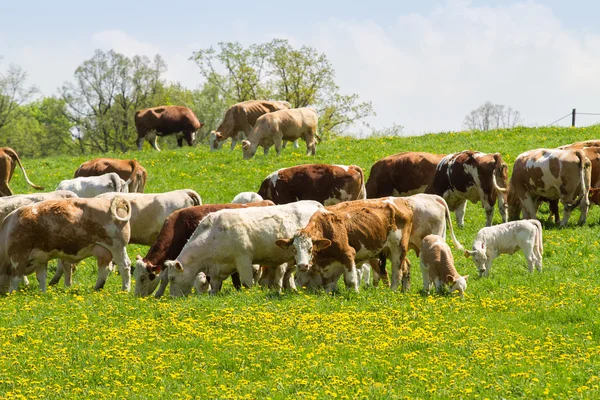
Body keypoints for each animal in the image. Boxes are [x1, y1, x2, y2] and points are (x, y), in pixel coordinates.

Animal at [0, 197, 132, 294]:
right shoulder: (41, 258)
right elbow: (41, 277)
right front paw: (42, 293)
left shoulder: (18, 256)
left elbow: (15, 278)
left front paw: (11, 294)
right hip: (103, 251)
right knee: (104, 269)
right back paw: (97, 288)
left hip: (117, 247)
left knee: (124, 266)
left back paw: (125, 289)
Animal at [164, 200, 324, 296]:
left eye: (172, 278)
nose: (173, 297)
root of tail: (317, 205)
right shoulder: (217, 269)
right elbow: (214, 286)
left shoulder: (243, 260)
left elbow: (247, 283)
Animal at [276, 198, 412, 292]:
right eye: (294, 249)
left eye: (311, 248)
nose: (302, 266)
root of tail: (401, 201)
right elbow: (328, 285)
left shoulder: (348, 254)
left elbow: (350, 280)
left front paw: (355, 294)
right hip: (387, 250)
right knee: (406, 266)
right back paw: (405, 290)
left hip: (399, 248)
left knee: (397, 272)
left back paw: (392, 291)